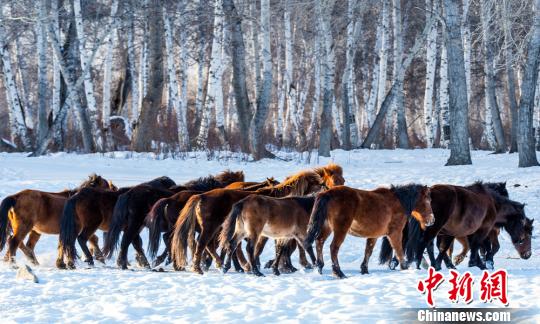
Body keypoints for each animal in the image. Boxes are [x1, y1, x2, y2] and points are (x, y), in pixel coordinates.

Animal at [171, 168, 332, 274]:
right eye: (320, 183)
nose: (327, 191)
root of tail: (200, 196)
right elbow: (262, 248)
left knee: (215, 246)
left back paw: (224, 265)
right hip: (211, 227)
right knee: (203, 244)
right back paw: (201, 268)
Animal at [302, 185, 432, 278]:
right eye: (427, 201)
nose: (432, 220)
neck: (398, 202)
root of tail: (327, 193)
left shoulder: (373, 236)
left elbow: (368, 251)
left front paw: (364, 270)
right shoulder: (395, 233)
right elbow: (399, 250)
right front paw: (404, 267)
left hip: (327, 227)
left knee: (319, 242)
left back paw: (320, 267)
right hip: (340, 230)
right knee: (333, 248)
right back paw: (338, 272)